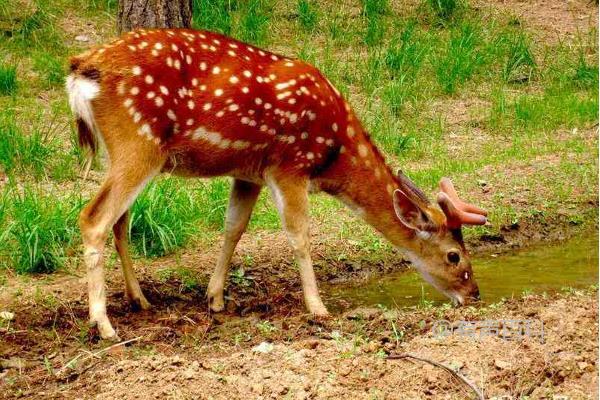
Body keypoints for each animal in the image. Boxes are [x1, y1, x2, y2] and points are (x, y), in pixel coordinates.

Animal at [65, 28, 488, 340]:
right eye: (455, 256)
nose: (474, 294)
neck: (335, 152)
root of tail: (81, 67)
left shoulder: (248, 171)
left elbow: (234, 227)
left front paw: (214, 299)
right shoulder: (289, 166)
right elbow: (299, 234)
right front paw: (318, 308)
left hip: (125, 153)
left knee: (120, 220)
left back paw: (139, 300)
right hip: (137, 142)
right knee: (94, 218)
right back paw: (103, 325)